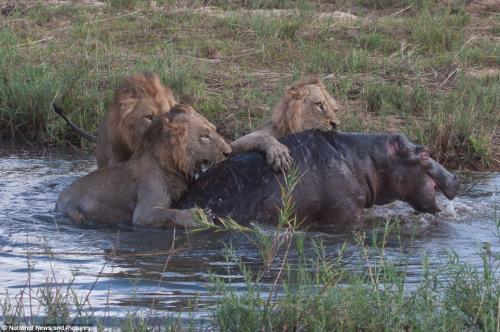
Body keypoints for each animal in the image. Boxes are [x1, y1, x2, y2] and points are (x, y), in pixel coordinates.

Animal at [56, 104, 232, 228]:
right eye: (205, 136)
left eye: (215, 130)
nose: (229, 152)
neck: (172, 164)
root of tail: (59, 199)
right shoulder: (143, 213)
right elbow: (172, 214)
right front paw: (200, 216)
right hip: (73, 210)